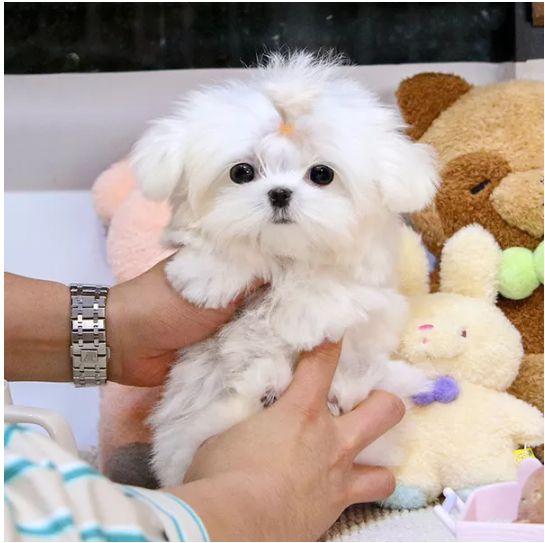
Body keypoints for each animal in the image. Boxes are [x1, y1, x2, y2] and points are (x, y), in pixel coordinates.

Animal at [131, 53, 438, 486]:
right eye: (242, 172)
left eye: (322, 174)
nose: (279, 193)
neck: (287, 254)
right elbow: (228, 246)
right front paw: (211, 273)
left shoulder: (372, 290)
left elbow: (331, 282)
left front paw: (303, 314)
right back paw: (266, 384)